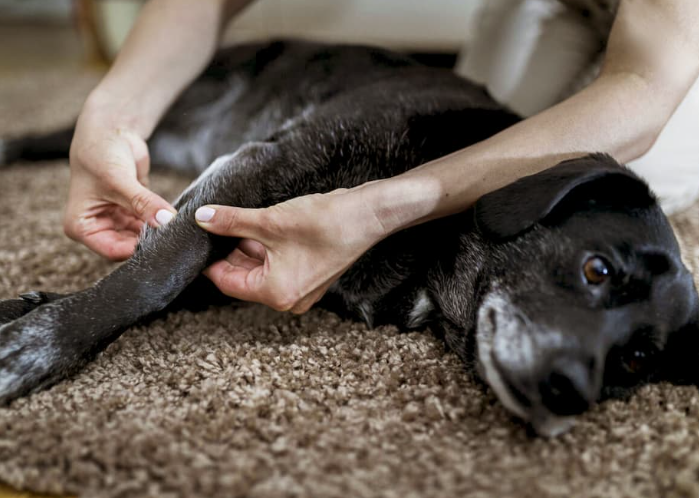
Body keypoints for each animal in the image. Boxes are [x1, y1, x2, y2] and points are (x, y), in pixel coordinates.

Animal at [1, 40, 699, 436]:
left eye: (637, 361)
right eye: (597, 269)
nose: (571, 393)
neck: (433, 250)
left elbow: (174, 283)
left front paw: (27, 309)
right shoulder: (261, 166)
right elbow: (155, 278)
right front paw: (35, 347)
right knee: (51, 137)